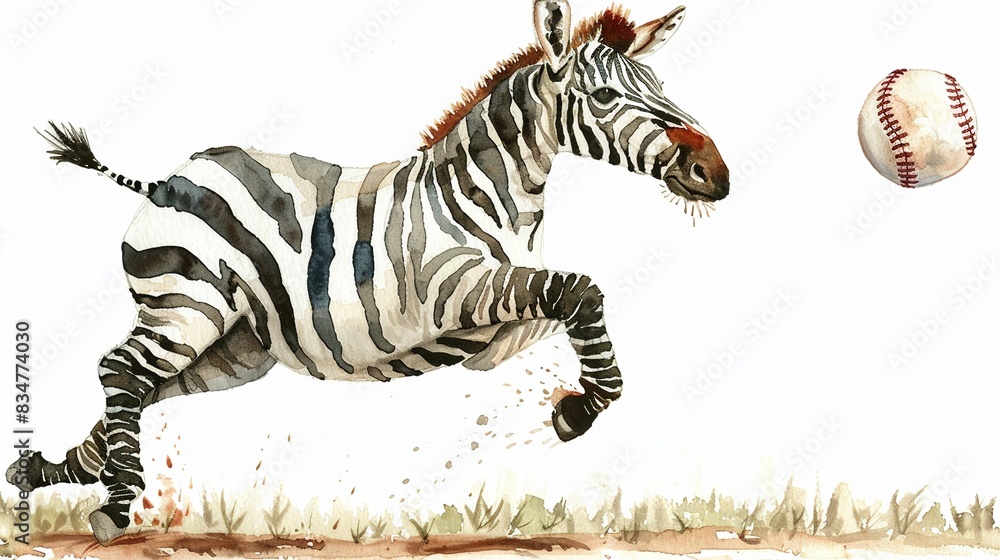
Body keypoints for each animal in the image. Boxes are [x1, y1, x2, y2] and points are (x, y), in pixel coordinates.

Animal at [6, 0, 729, 545]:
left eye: (663, 90)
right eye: (604, 96)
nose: (715, 174)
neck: (493, 196)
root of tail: (166, 180)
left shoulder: (490, 333)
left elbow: (576, 305)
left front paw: (577, 401)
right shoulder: (454, 292)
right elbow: (582, 290)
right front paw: (578, 412)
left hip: (234, 347)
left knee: (139, 391)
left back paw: (44, 471)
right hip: (187, 307)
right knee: (119, 370)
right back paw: (114, 504)